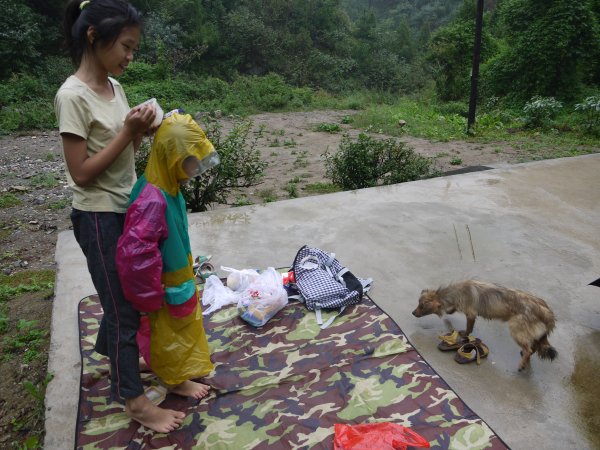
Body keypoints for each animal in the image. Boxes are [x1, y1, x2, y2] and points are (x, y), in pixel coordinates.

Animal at [412, 280, 556, 370]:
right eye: (418, 304)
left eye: (422, 306)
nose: (413, 313)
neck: (457, 292)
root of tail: (546, 312)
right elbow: (452, 310)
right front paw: (450, 311)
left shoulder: (471, 314)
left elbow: (469, 328)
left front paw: (464, 334)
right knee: (534, 347)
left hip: (516, 329)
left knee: (529, 349)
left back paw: (522, 364)